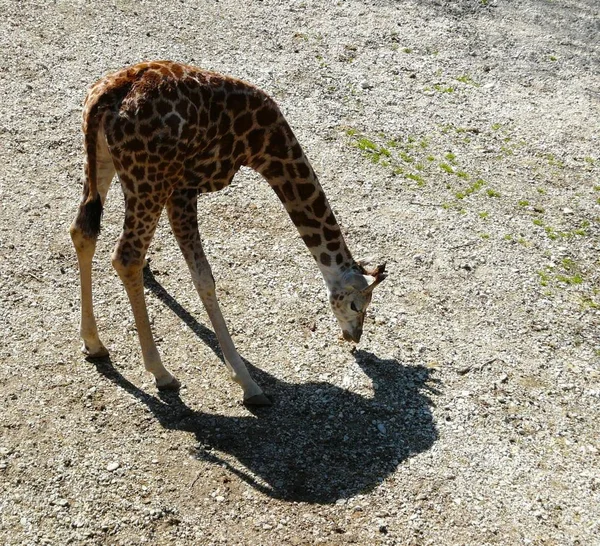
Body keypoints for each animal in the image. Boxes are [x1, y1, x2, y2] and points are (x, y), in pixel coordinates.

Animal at [70, 61, 386, 406]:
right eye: (357, 305)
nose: (354, 336)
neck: (264, 144)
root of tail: (108, 93)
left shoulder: (177, 189)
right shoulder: (184, 188)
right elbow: (204, 278)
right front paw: (248, 384)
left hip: (102, 159)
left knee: (82, 231)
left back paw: (93, 343)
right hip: (148, 179)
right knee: (125, 257)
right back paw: (162, 373)